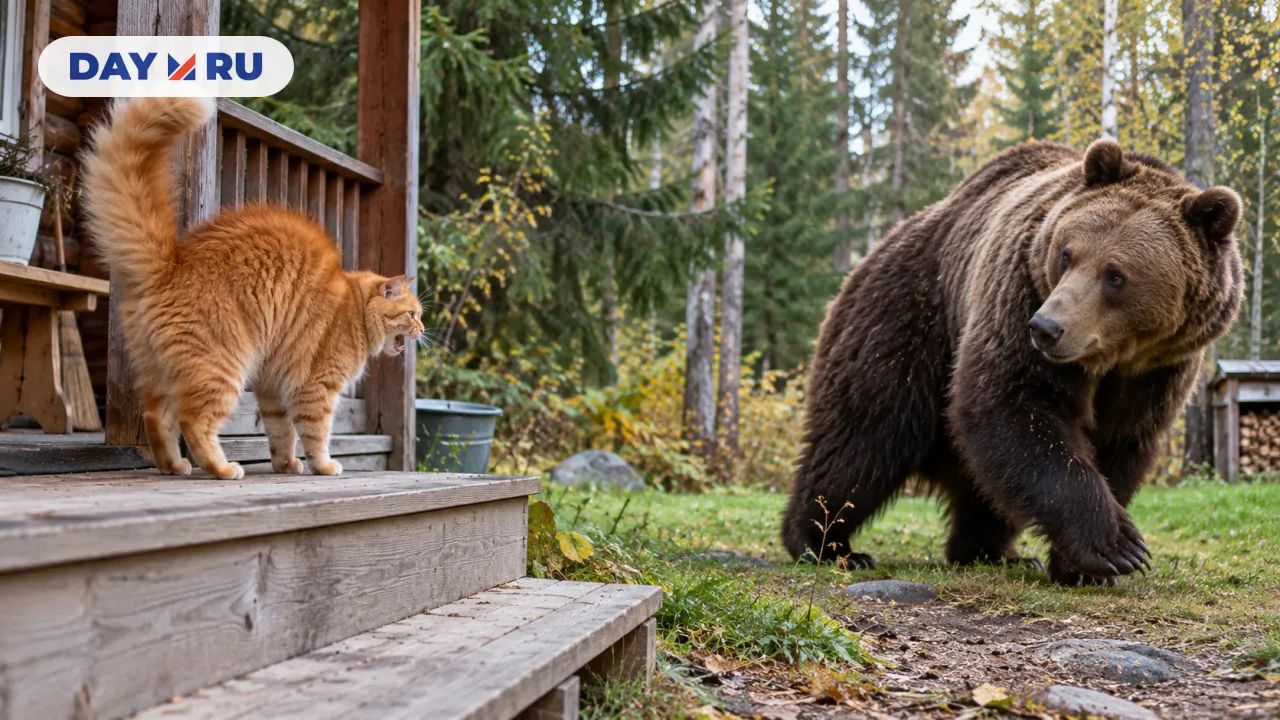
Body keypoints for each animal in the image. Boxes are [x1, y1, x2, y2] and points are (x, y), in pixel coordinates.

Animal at [782, 139, 1243, 586]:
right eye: (1066, 254)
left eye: (1116, 275)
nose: (1046, 327)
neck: (1112, 358)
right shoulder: (1017, 291)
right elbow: (1014, 407)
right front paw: (1117, 546)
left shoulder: (1157, 370)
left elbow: (1119, 443)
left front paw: (1082, 568)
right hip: (906, 317)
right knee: (863, 436)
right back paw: (826, 543)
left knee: (977, 481)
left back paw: (990, 550)